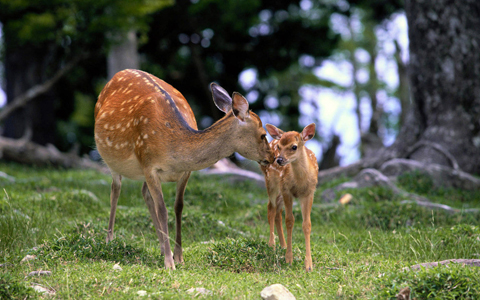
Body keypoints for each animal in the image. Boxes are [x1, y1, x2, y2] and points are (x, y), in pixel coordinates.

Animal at [94, 69, 274, 270]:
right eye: (263, 135)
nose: (273, 158)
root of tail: (118, 74)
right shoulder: (149, 164)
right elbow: (162, 209)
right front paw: (169, 263)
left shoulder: (185, 172)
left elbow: (178, 207)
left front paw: (178, 257)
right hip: (113, 160)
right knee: (115, 190)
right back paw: (110, 240)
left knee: (144, 193)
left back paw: (163, 248)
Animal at [258, 123, 318, 272]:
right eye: (279, 146)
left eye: (294, 146)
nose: (279, 159)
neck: (300, 181)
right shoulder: (287, 190)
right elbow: (290, 221)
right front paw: (289, 259)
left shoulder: (309, 193)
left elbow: (306, 224)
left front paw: (309, 265)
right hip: (271, 182)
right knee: (271, 209)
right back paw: (272, 245)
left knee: (277, 212)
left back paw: (283, 245)